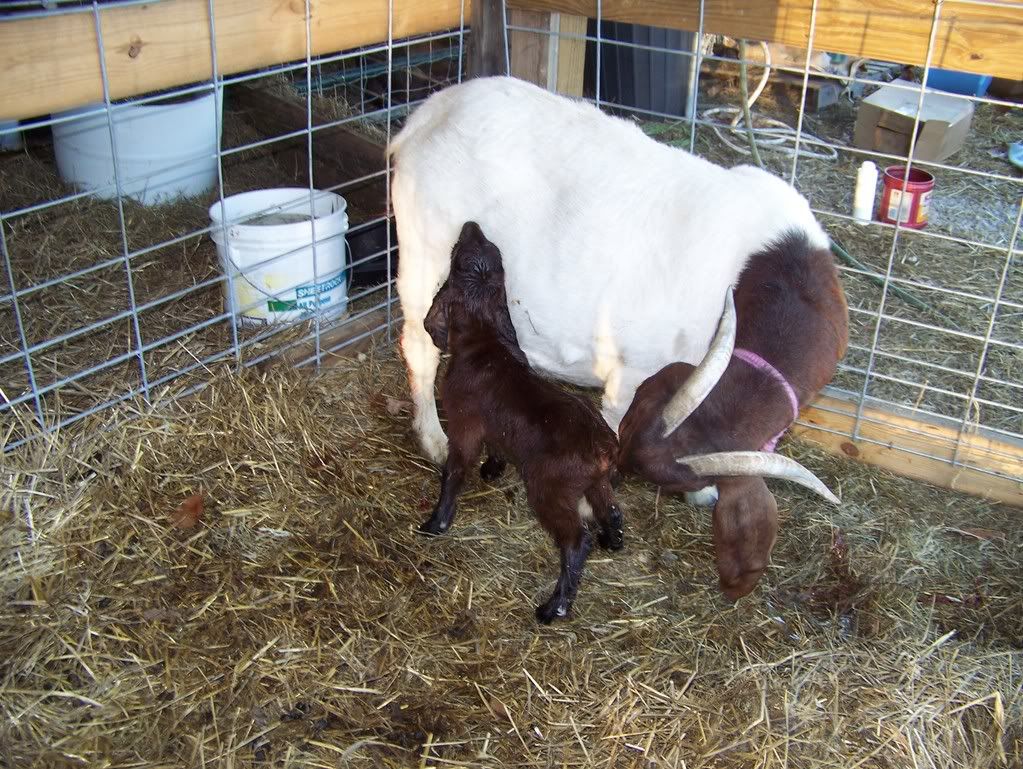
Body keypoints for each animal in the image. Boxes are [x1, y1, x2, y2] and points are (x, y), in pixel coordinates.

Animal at [420, 221, 625, 624]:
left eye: (456, 258)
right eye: (491, 251)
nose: (471, 225)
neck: (485, 342)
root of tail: (606, 447)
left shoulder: (464, 425)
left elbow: (454, 471)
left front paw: (437, 522)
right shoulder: (490, 425)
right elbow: (497, 444)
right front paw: (492, 469)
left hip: (549, 488)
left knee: (576, 541)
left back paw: (554, 607)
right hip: (596, 483)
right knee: (611, 511)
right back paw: (613, 541)